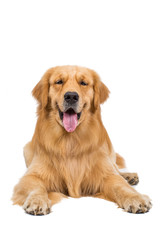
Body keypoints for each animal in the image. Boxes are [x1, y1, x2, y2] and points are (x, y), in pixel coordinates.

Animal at [11, 65, 152, 214]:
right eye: (59, 82)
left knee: (117, 170)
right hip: (26, 149)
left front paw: (135, 198)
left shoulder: (105, 173)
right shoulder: (32, 175)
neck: (70, 141)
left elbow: (120, 185)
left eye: (83, 83)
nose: (71, 96)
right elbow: (36, 187)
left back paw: (129, 176)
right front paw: (37, 201)